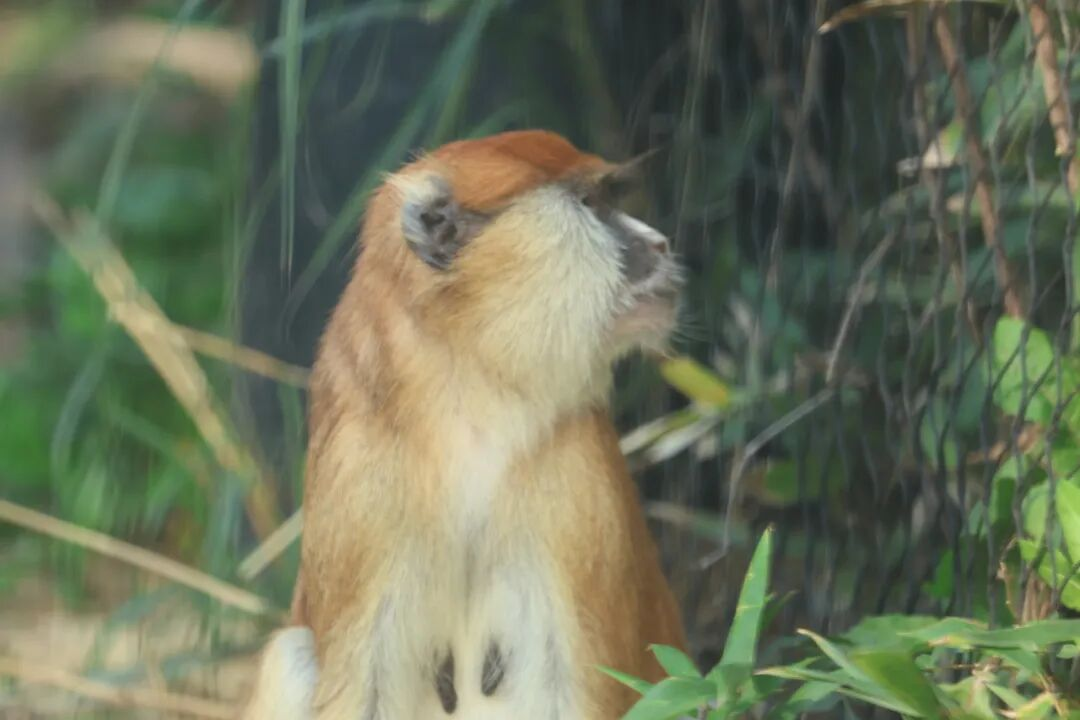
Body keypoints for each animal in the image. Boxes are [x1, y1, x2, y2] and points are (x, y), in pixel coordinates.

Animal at [241, 129, 688, 719]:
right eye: (592, 205)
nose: (660, 245)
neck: (475, 401)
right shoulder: (362, 481)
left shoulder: (577, 473)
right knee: (293, 656)